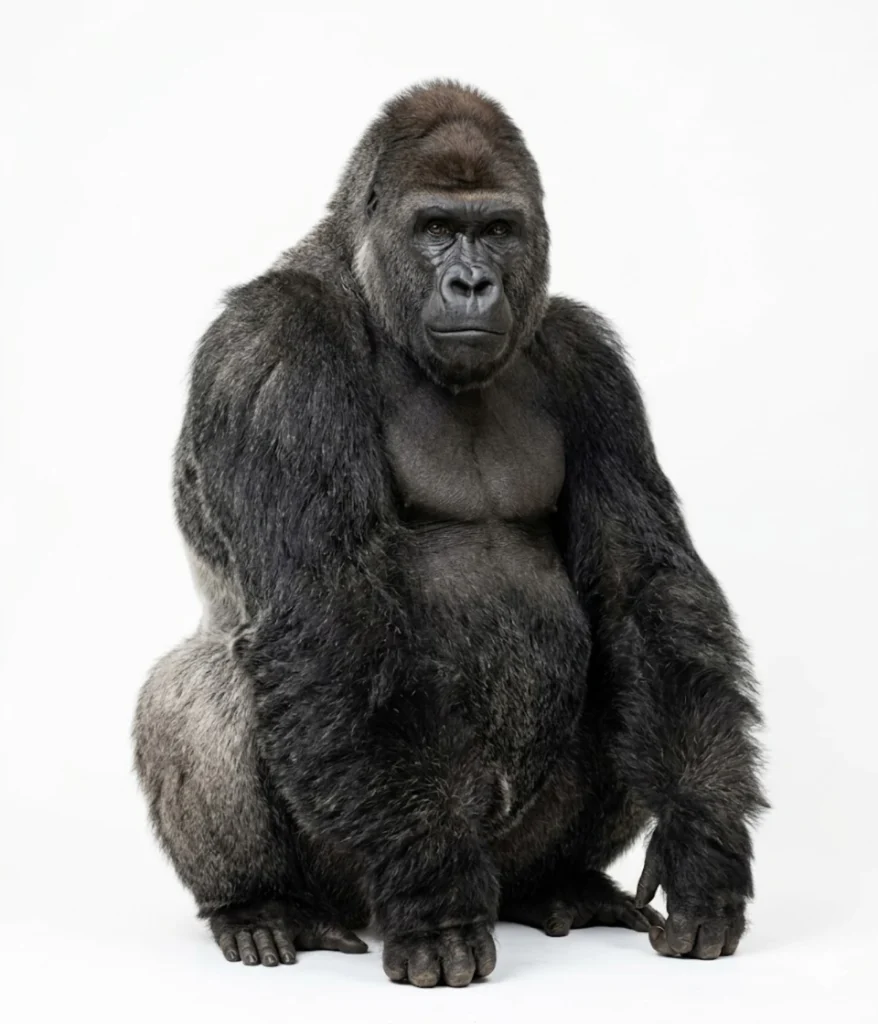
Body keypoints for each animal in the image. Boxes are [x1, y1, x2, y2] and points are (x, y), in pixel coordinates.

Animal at [134, 80, 765, 987]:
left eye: (497, 229)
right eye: (435, 227)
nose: (471, 282)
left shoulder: (588, 357)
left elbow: (643, 590)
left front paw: (703, 844)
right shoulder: (274, 349)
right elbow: (328, 611)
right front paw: (432, 899)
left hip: (511, 852)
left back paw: (561, 883)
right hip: (353, 870)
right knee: (201, 681)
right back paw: (260, 904)